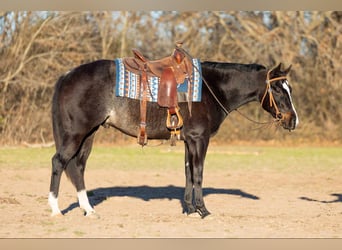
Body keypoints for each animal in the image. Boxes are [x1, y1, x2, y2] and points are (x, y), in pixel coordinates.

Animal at [48, 59, 300, 218]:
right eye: (278, 89)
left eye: (288, 88)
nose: (293, 120)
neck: (211, 89)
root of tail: (67, 76)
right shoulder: (199, 139)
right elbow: (198, 174)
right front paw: (202, 210)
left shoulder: (189, 141)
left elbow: (188, 173)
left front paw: (188, 208)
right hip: (76, 134)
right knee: (59, 162)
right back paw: (56, 210)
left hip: (88, 135)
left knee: (78, 167)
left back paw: (89, 210)